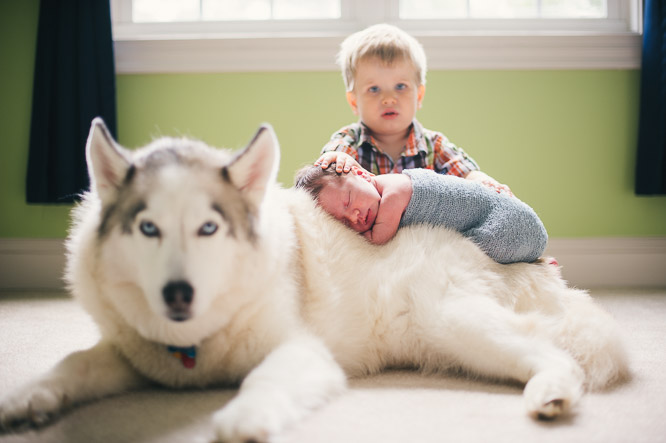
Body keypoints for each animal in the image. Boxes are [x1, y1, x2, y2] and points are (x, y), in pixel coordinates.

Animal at [0, 119, 624, 443]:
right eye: (147, 228)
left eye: (209, 227)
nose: (178, 295)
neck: (195, 345)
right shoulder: (134, 352)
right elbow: (76, 362)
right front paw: (28, 397)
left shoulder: (303, 352)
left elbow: (265, 380)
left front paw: (243, 419)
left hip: (453, 322)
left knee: (553, 353)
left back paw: (552, 392)